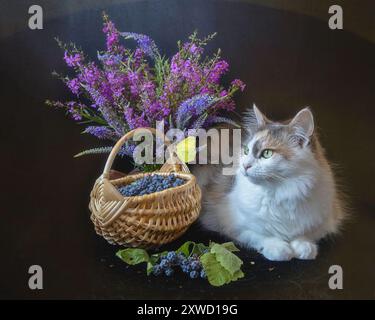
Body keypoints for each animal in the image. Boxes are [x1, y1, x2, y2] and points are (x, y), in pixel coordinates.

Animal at [194, 106, 346, 262]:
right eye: (246, 151)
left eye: (267, 153)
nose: (245, 166)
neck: (281, 191)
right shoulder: (229, 222)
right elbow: (261, 235)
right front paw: (280, 249)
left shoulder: (327, 220)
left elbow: (305, 234)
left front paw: (304, 247)